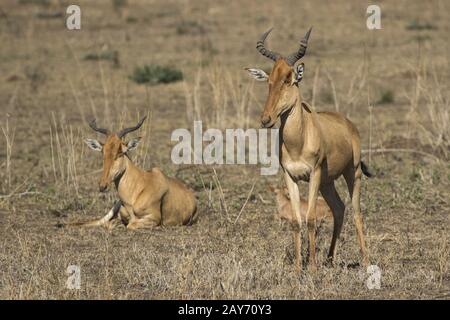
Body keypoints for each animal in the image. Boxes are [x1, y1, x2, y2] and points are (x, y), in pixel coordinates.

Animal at [248, 28, 370, 272]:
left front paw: (312, 268)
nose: (266, 119)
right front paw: (298, 267)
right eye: (269, 80)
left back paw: (365, 261)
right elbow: (297, 221)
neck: (299, 140)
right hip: (327, 182)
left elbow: (311, 218)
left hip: (352, 173)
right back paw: (330, 259)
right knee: (339, 208)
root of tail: (347, 123)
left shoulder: (314, 174)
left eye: (290, 79)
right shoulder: (290, 176)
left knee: (356, 212)